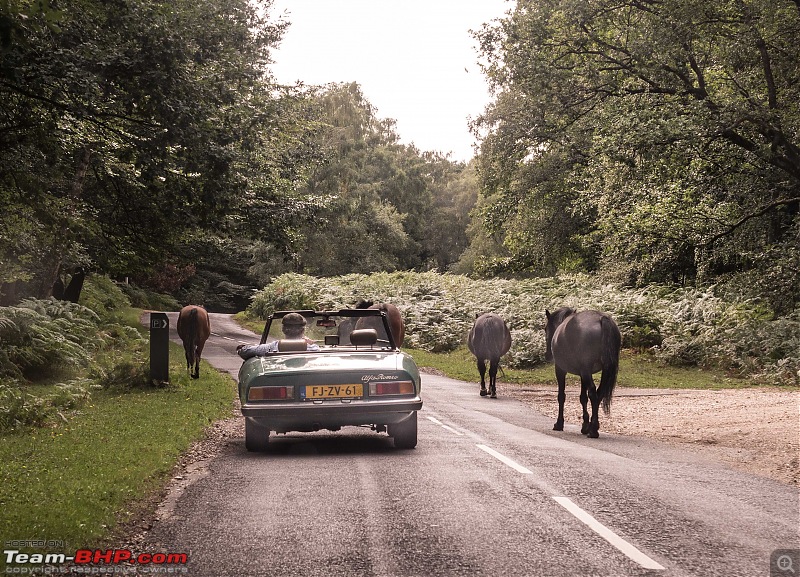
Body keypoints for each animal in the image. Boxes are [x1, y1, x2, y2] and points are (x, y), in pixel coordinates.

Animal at [548, 306, 620, 436]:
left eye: (546, 328)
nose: (547, 355)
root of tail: (601, 319)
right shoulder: (583, 374)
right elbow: (583, 398)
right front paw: (585, 425)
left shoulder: (560, 370)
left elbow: (561, 396)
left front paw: (559, 423)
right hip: (602, 371)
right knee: (599, 393)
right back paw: (593, 427)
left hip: (585, 371)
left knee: (593, 393)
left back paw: (593, 430)